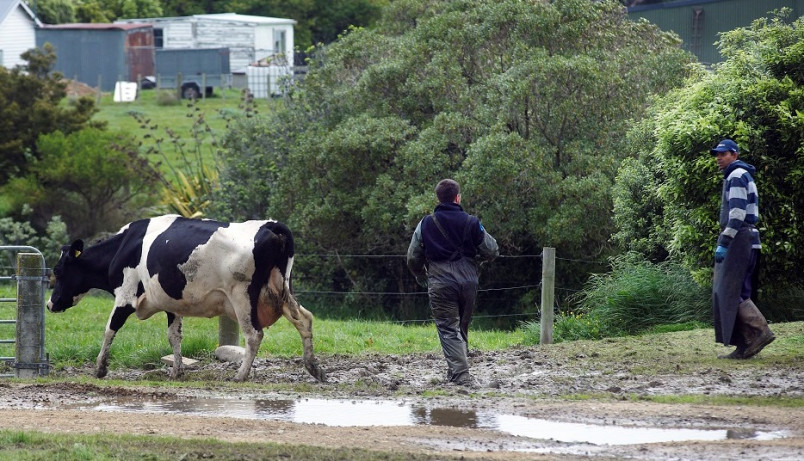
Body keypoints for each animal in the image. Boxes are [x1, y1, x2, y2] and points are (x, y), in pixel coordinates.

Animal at [46, 215, 324, 380]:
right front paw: (176, 370)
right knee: (304, 320)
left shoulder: (126, 295)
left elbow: (109, 329)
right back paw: (313, 368)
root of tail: (270, 224)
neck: (125, 247)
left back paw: (241, 375)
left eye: (58, 271)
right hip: (280, 289)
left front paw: (100, 368)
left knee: (254, 334)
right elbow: (174, 336)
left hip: (242, 296)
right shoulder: (171, 302)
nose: (50, 303)